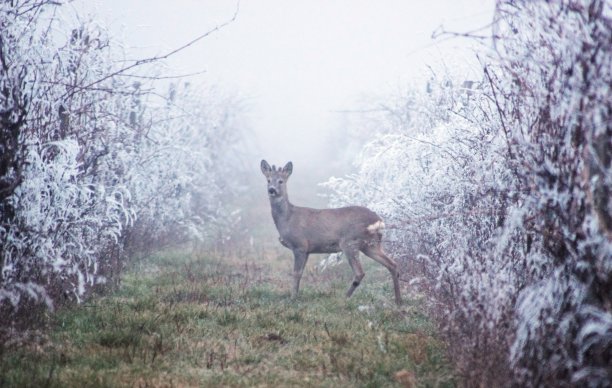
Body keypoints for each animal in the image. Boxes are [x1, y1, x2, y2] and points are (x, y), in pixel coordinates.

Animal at [262, 159, 402, 304]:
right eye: (268, 180)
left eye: (281, 181)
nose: (271, 190)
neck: (287, 218)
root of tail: (378, 221)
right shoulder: (307, 250)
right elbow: (300, 273)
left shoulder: (299, 245)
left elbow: (296, 273)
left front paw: (293, 298)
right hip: (371, 245)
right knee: (392, 264)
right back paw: (398, 300)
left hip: (350, 242)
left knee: (360, 272)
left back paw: (344, 298)